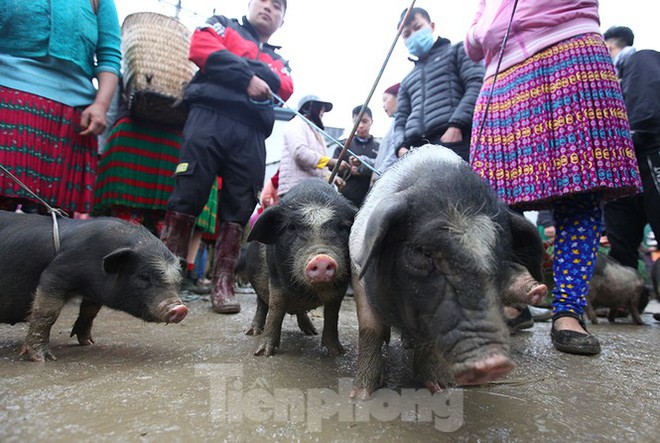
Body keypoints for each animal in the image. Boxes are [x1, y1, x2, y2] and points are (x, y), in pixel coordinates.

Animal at [0, 212, 188, 364]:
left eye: (178, 280)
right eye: (143, 276)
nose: (181, 309)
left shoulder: (94, 293)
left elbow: (90, 312)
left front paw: (88, 343)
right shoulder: (56, 273)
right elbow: (47, 313)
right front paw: (42, 359)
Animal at [244, 180, 356, 358]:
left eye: (343, 228)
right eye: (291, 227)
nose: (321, 258)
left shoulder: (341, 287)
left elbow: (332, 315)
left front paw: (336, 352)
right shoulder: (276, 279)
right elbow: (276, 309)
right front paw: (263, 353)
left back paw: (311, 331)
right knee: (262, 304)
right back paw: (252, 332)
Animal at [350, 146, 548, 398]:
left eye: (502, 257)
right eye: (424, 252)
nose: (494, 363)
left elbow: (429, 341)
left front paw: (440, 389)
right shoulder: (358, 270)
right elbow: (369, 331)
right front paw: (360, 395)